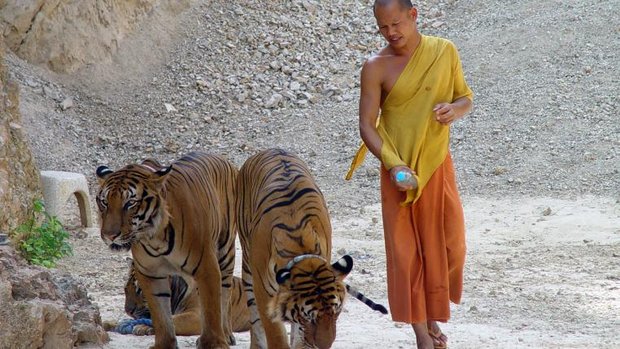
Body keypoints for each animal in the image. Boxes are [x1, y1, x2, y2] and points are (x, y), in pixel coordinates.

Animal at [96, 152, 237, 348]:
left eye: (130, 203)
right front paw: (164, 343)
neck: (154, 237)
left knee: (225, 294)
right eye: (104, 202)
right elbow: (161, 316)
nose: (109, 235)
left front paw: (213, 343)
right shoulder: (150, 274)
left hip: (225, 252)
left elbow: (209, 312)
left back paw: (227, 334)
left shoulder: (206, 268)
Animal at [235, 147, 386, 348]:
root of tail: (271, 149)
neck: (300, 248)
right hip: (248, 269)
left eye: (337, 312)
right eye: (309, 318)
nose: (324, 345)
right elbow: (276, 336)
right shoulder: (265, 294)